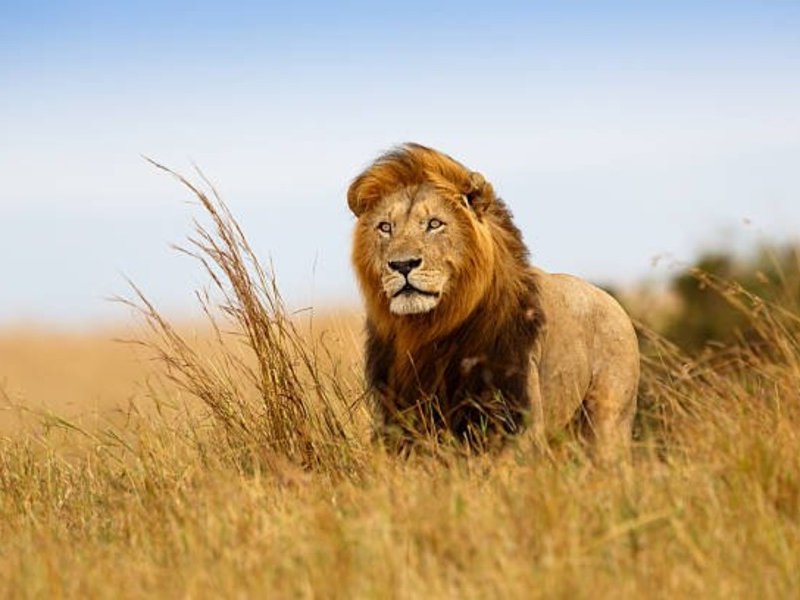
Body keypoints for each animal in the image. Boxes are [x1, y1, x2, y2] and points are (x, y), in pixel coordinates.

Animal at [348, 143, 639, 462]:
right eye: (385, 227)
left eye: (434, 224)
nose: (402, 265)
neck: (429, 329)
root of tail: (613, 303)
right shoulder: (399, 416)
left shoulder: (516, 416)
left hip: (607, 421)